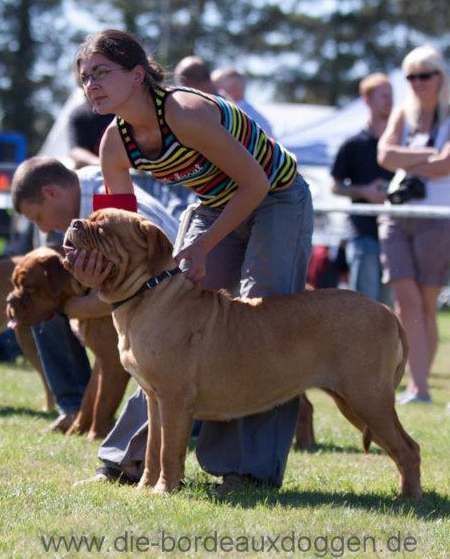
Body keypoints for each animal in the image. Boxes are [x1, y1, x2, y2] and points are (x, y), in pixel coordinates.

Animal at [6, 247, 129, 440]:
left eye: (28, 287)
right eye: (14, 284)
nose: (9, 300)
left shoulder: (112, 360)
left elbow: (102, 402)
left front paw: (94, 435)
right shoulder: (101, 358)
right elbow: (89, 397)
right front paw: (76, 430)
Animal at [63, 210, 422, 498]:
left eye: (103, 229)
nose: (74, 222)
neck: (148, 293)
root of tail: (386, 311)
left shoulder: (174, 400)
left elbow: (169, 451)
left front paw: (163, 490)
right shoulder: (155, 399)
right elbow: (153, 449)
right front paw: (146, 486)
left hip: (367, 397)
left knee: (408, 448)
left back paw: (409, 498)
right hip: (353, 401)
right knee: (399, 448)